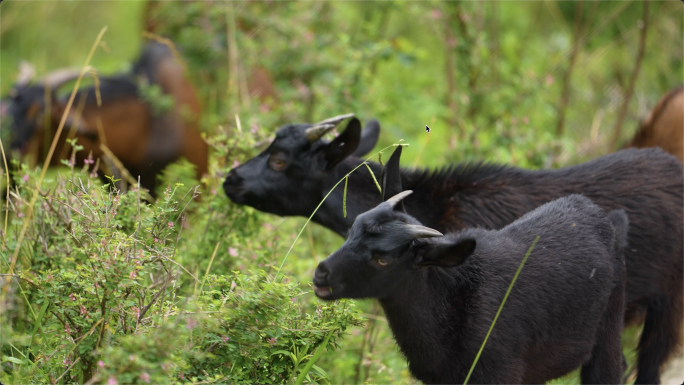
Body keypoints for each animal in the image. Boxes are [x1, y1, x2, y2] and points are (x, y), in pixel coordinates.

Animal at [312, 190, 628, 382]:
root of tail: (608, 220)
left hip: (608, 331)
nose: (321, 274)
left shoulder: (500, 372)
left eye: (383, 259)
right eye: (350, 232)